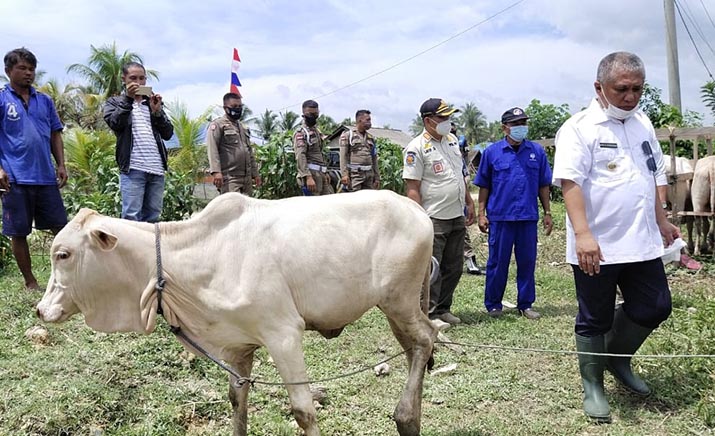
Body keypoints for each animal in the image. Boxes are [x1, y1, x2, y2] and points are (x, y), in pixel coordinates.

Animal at [36, 192, 436, 436]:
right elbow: (236, 400)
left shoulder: (283, 334)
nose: (41, 310)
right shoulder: (238, 347)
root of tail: (415, 209)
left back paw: (405, 416)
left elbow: (303, 410)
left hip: (398, 300)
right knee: (418, 345)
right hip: (397, 307)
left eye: (64, 254)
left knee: (425, 339)